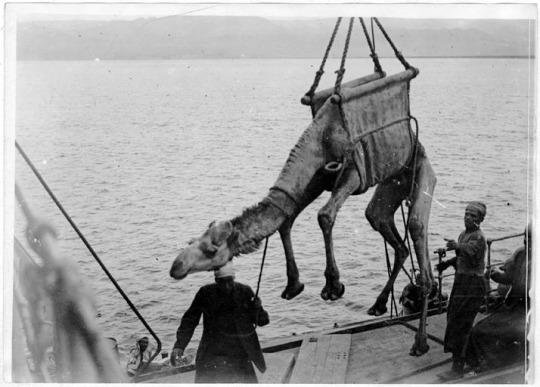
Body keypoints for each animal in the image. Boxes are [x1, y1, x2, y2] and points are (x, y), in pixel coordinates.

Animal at [171, 68, 436, 356]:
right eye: (191, 241)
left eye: (212, 250)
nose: (176, 266)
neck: (320, 139)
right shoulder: (317, 179)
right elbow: (287, 218)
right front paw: (293, 285)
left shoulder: (353, 171)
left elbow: (324, 215)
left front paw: (333, 286)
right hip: (394, 180)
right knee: (384, 225)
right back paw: (380, 304)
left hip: (422, 169)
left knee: (417, 228)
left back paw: (421, 340)